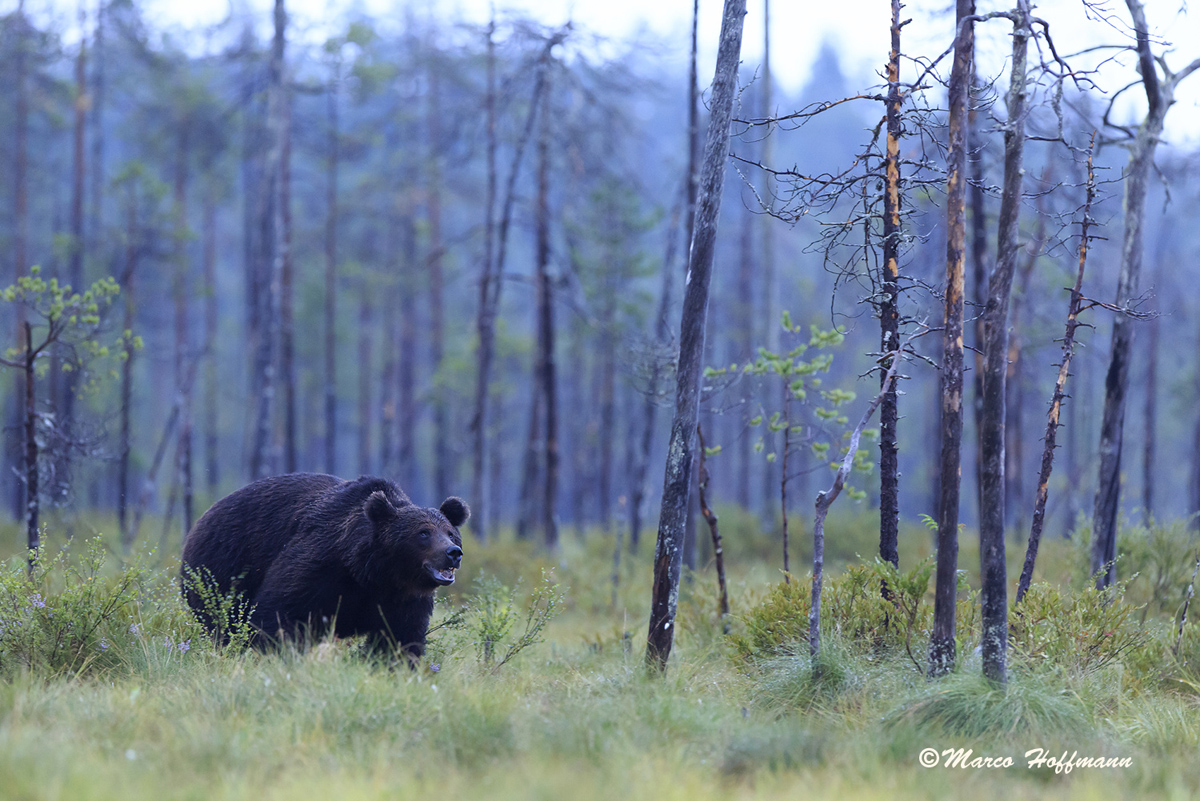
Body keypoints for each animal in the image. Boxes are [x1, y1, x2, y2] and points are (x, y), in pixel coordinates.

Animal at [180, 472, 465, 661]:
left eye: (450, 532)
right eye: (423, 533)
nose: (453, 553)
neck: (371, 573)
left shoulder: (405, 599)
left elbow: (400, 638)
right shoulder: (320, 565)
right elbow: (279, 610)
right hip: (220, 570)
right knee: (222, 622)